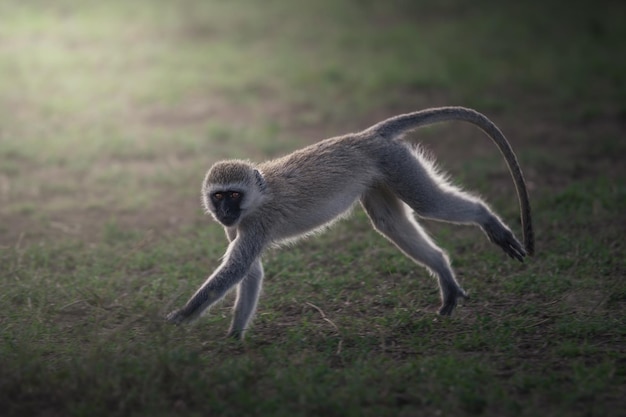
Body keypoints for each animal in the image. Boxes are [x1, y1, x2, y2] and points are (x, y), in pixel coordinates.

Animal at [167, 106, 532, 338]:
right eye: (218, 196)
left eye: (233, 195)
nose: (224, 211)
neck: (257, 196)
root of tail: (366, 135)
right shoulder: (238, 227)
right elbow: (251, 271)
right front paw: (235, 338)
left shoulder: (257, 225)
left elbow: (237, 268)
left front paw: (182, 316)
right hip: (383, 177)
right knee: (390, 222)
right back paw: (443, 271)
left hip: (398, 164)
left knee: (427, 203)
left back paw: (488, 219)